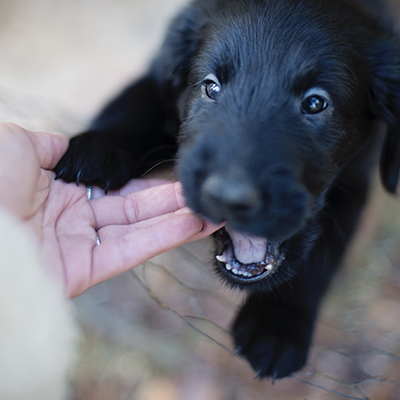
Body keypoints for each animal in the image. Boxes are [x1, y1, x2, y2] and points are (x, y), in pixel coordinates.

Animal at [54, 0, 400, 378]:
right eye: (211, 87)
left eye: (315, 103)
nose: (227, 197)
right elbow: (136, 102)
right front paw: (96, 149)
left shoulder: (357, 178)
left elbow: (322, 249)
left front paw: (276, 324)